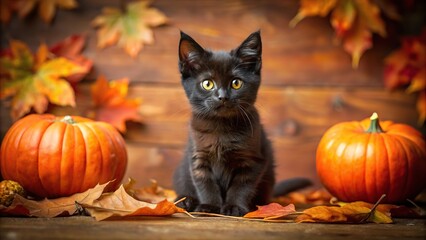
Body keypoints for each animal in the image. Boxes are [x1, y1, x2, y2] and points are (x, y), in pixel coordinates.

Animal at [173, 31, 276, 217]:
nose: (222, 97)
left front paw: (235, 207)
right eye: (207, 83)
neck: (220, 127)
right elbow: (205, 184)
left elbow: (241, 186)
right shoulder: (199, 158)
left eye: (236, 83)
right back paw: (186, 201)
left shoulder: (253, 160)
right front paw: (210, 206)